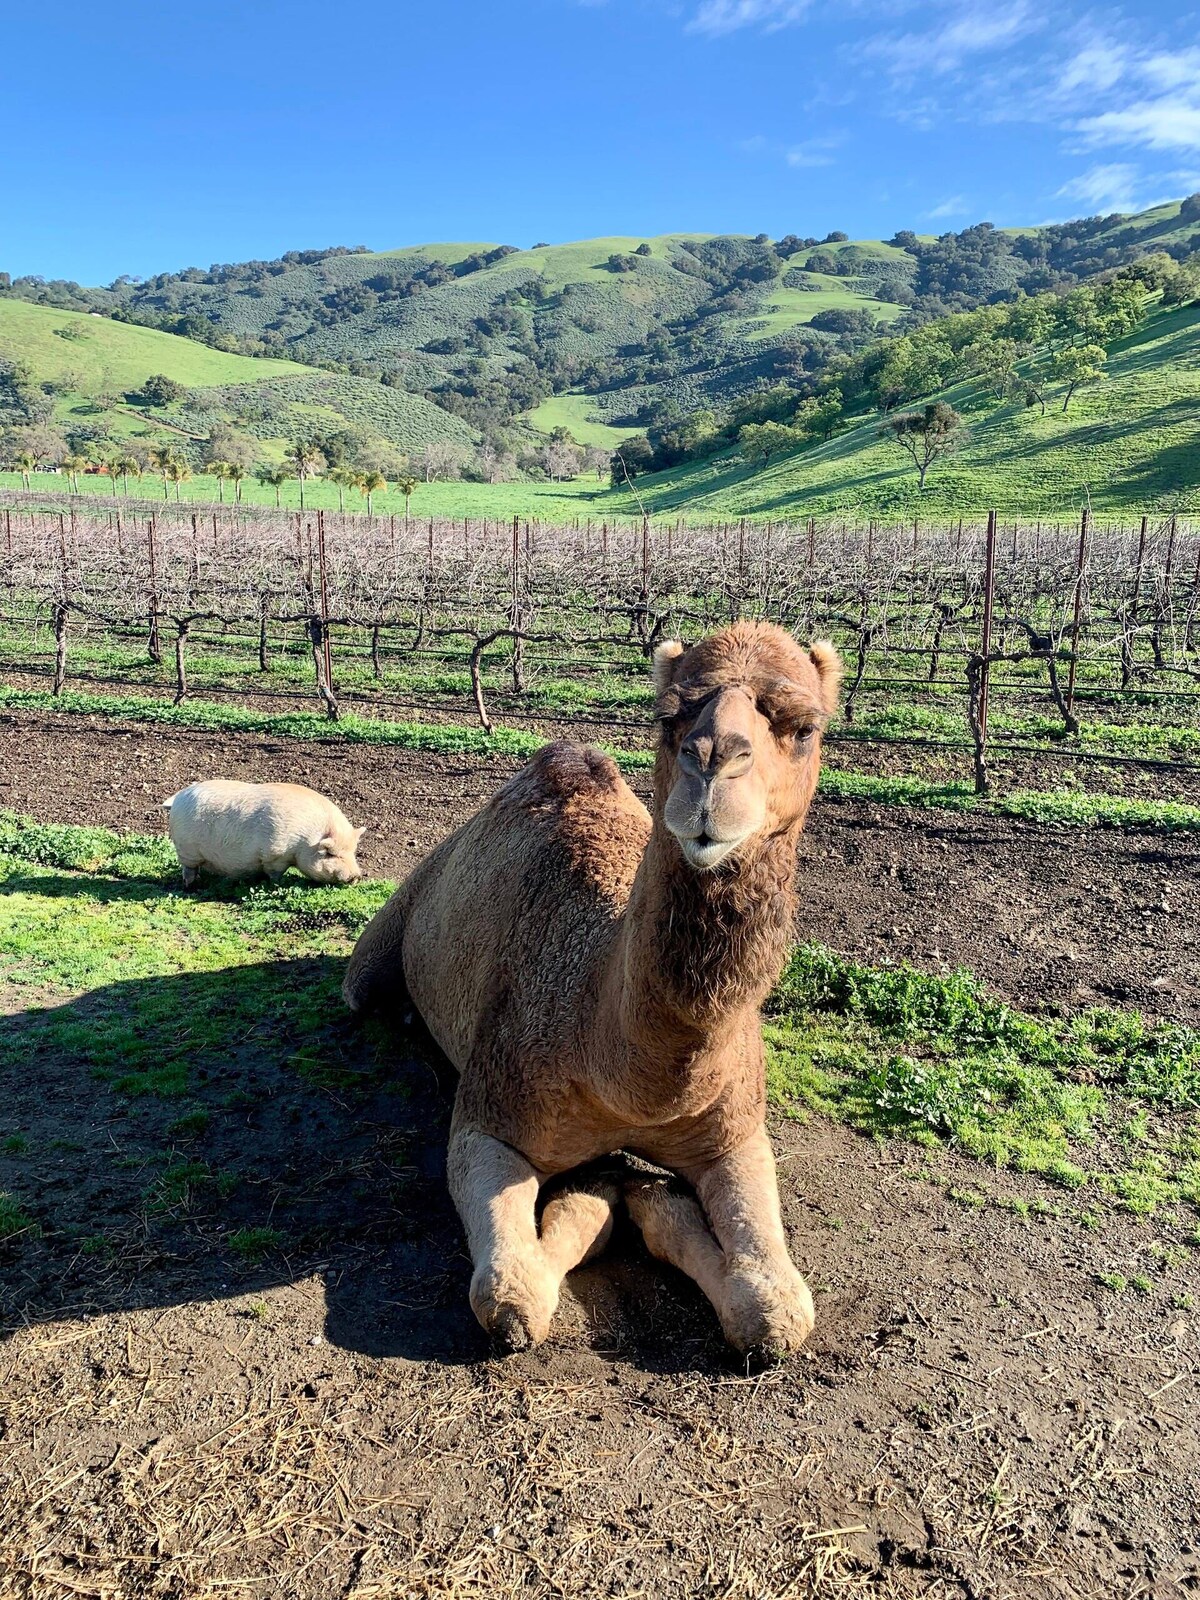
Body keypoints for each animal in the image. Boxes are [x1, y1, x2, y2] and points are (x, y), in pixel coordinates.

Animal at [163, 777, 366, 889]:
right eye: (330, 854)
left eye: (352, 852)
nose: (357, 876)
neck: (304, 842)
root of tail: (179, 797)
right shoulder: (275, 854)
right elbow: (275, 873)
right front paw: (277, 885)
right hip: (187, 849)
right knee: (188, 869)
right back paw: (191, 886)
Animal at [342, 617, 838, 1356]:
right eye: (668, 715)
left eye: (803, 726)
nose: (711, 764)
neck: (628, 1078)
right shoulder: (490, 1118)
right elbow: (511, 1296)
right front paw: (602, 1196)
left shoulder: (737, 1133)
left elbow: (776, 1308)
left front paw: (657, 1203)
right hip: (382, 940)